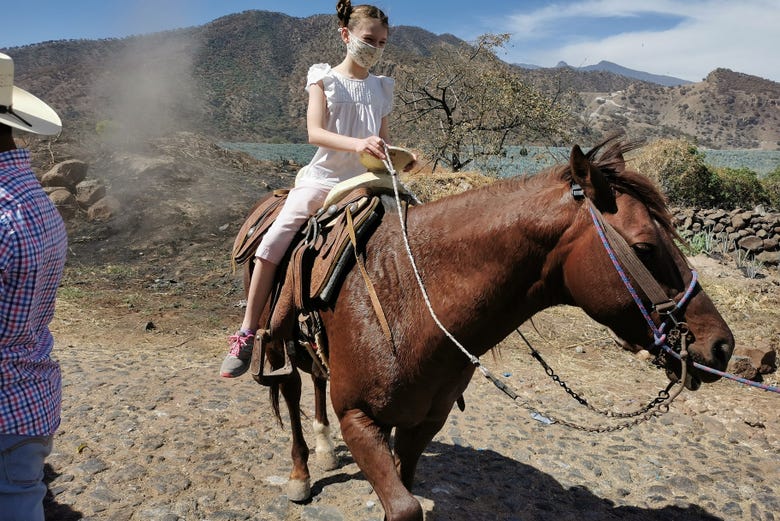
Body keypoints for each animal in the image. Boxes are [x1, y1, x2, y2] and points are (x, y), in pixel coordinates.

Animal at [253, 138, 736, 520]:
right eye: (645, 247)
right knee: (291, 391)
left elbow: (405, 486)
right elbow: (405, 506)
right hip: (276, 344)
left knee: (316, 378)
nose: (722, 346)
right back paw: (300, 473)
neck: (407, 299)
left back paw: (325, 450)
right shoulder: (358, 418)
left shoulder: (423, 424)